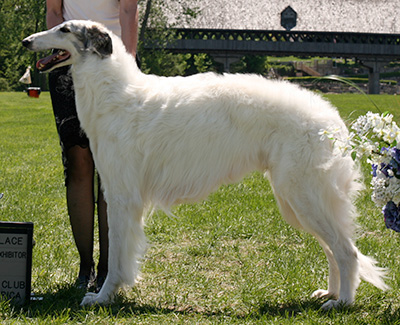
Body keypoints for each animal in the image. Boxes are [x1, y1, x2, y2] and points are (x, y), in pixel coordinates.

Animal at [22, 20, 388, 308]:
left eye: (64, 29)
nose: (26, 41)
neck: (116, 92)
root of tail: (333, 119)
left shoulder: (122, 197)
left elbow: (116, 257)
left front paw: (102, 296)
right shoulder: (119, 194)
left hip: (303, 194)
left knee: (347, 251)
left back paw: (343, 302)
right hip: (297, 200)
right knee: (334, 250)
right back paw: (330, 293)